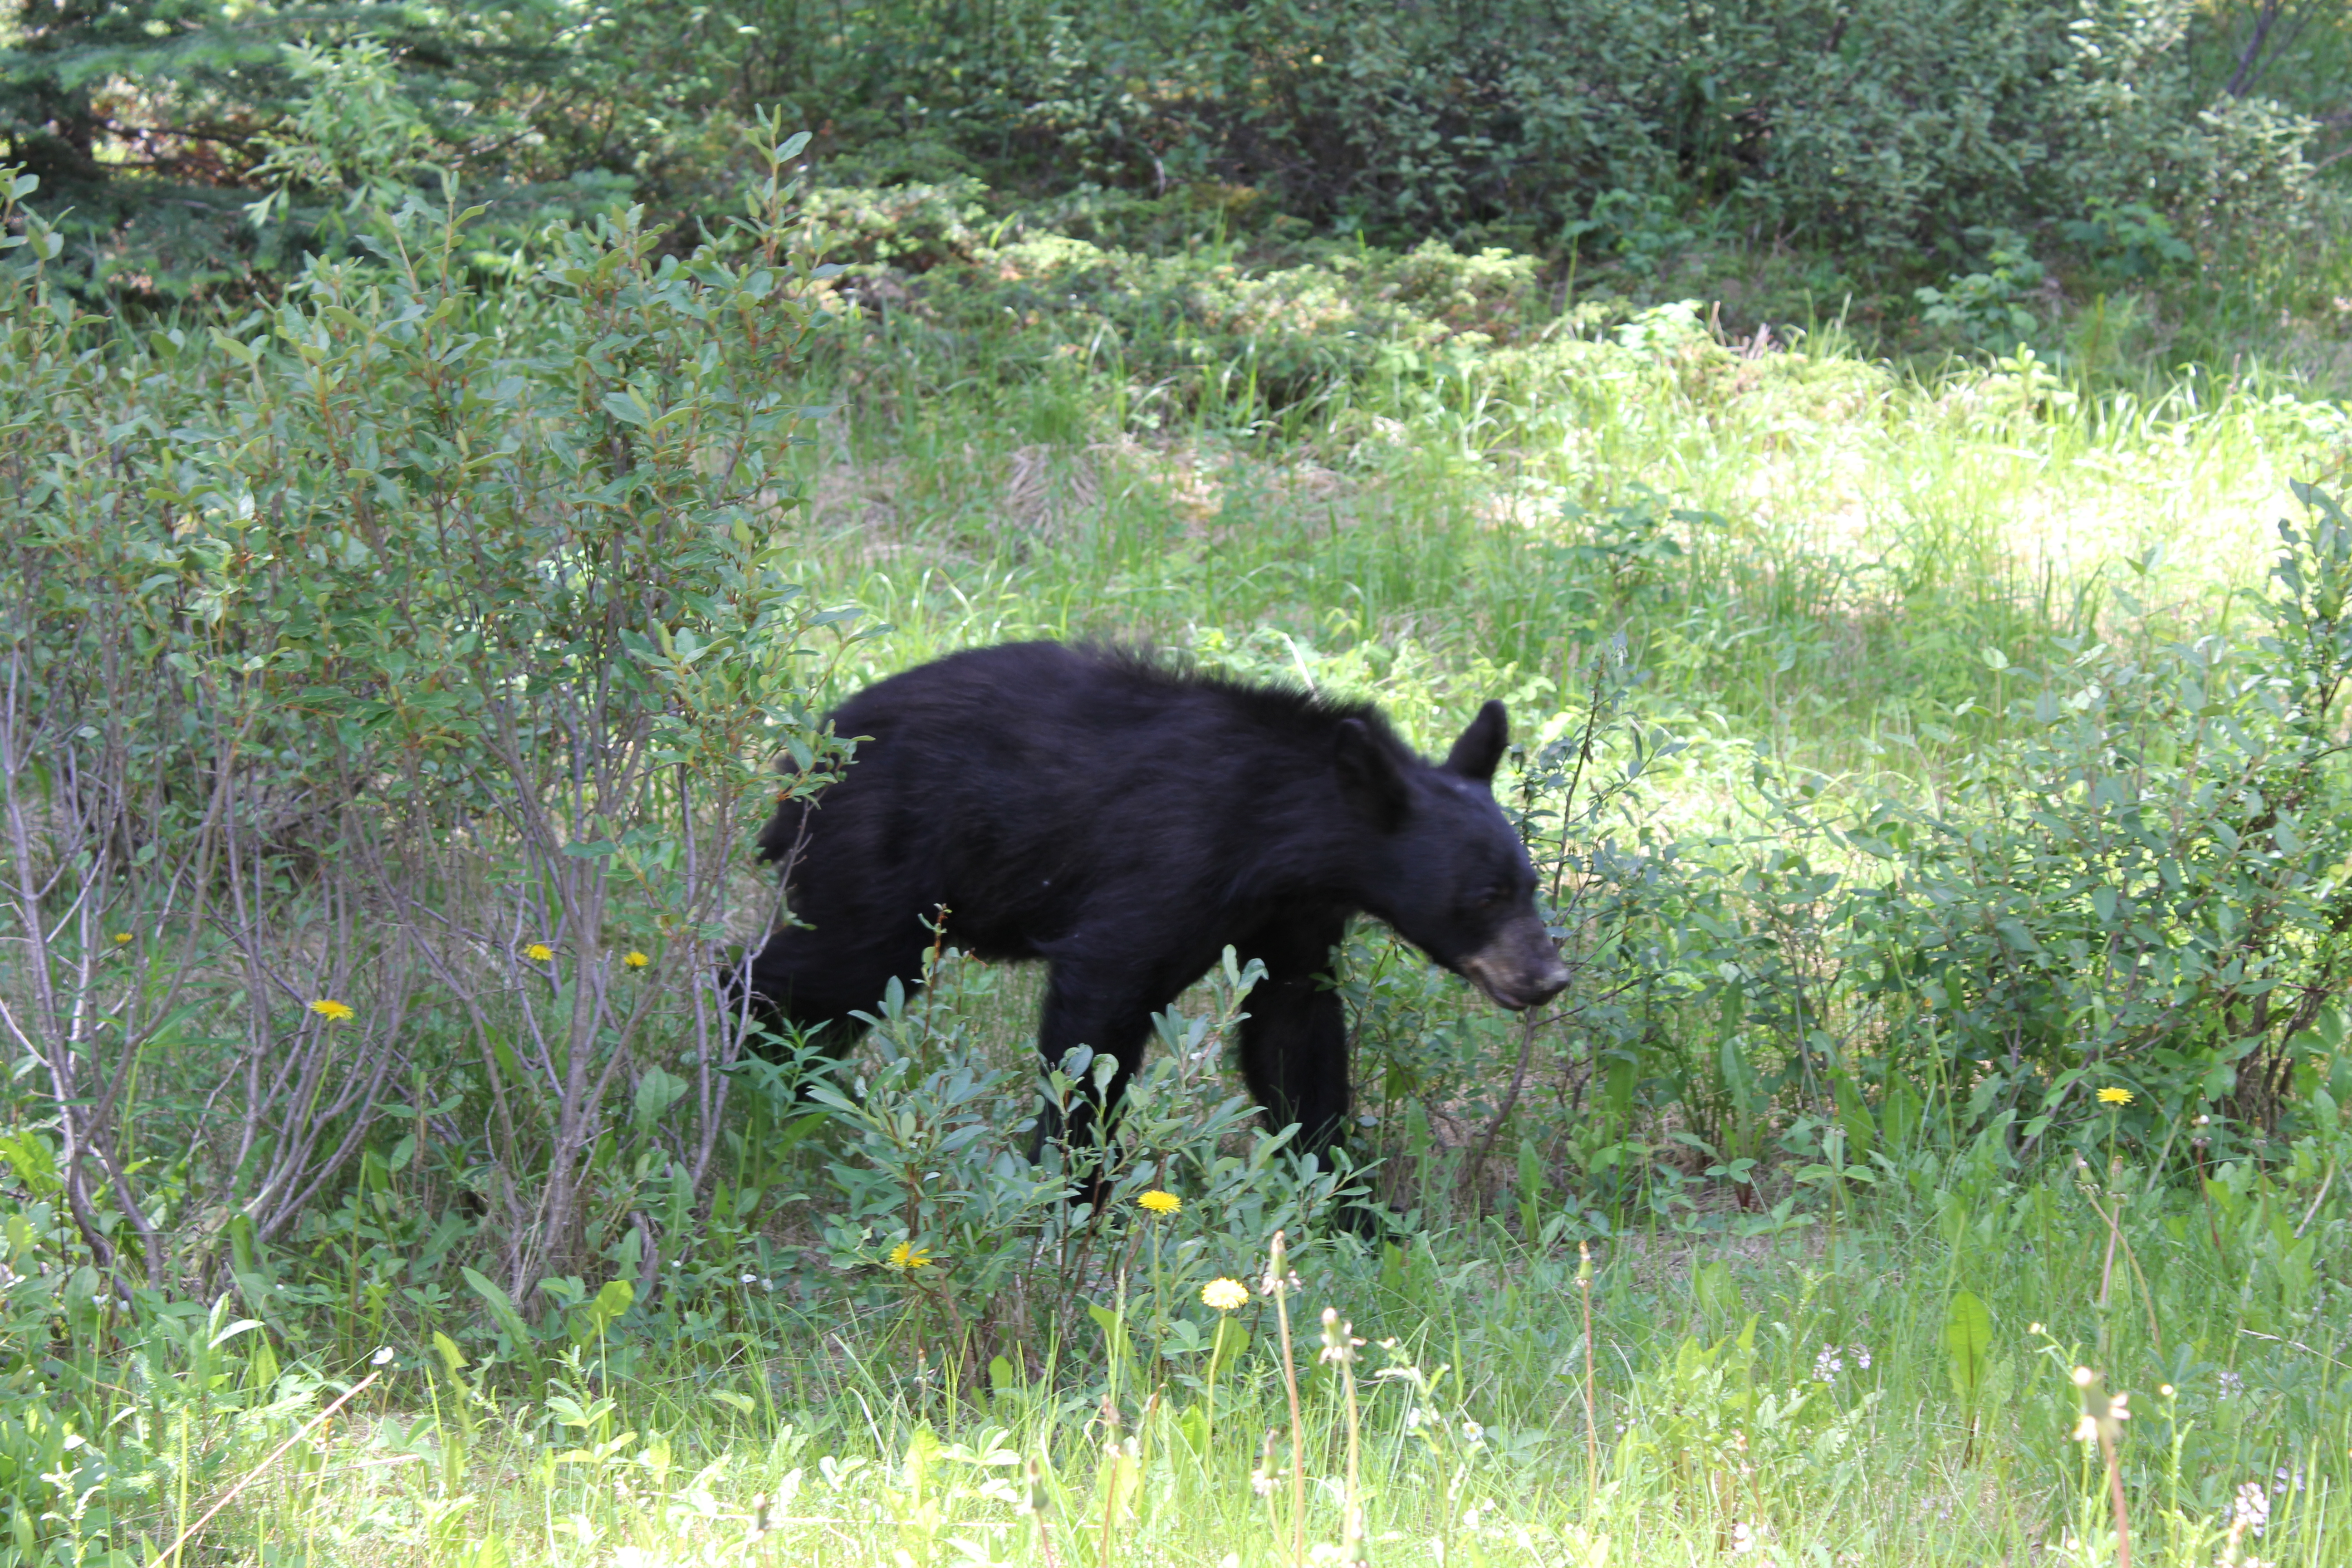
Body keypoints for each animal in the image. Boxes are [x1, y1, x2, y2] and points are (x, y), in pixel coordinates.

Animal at [743, 639, 1571, 1166]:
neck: (1281, 836)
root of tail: (797, 761)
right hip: (879, 862)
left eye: (1530, 886)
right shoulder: (1166, 869)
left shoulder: (1293, 922)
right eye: (1485, 897)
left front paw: (1350, 1212)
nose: (1547, 976)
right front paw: (1067, 1196)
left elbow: (1294, 1043)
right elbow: (1096, 1021)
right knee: (816, 972)